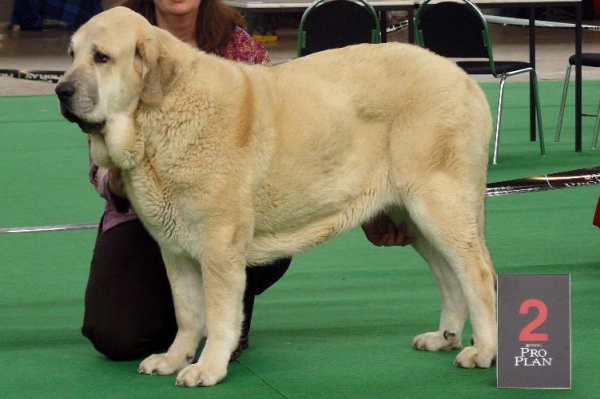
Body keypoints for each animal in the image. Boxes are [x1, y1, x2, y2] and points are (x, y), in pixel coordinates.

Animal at [56, 6, 496, 388]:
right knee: (450, 277)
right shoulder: (175, 249)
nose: (61, 90)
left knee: (477, 274)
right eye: (72, 55)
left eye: (102, 58)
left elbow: (218, 314)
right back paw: (445, 337)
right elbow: (188, 313)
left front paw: (208, 368)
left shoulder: (219, 246)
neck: (160, 114)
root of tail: (463, 78)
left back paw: (484, 351)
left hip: (438, 205)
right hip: (415, 217)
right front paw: (174, 358)